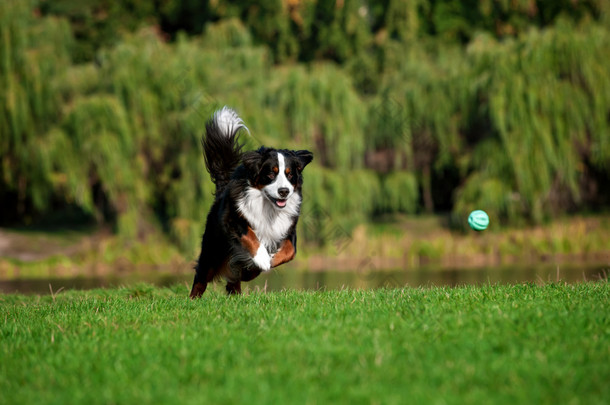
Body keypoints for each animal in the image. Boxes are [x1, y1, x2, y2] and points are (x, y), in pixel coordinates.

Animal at [189, 107, 314, 296]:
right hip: (213, 250)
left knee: (234, 279)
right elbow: (251, 236)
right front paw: (262, 259)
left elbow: (290, 251)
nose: (284, 191)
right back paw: (193, 298)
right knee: (201, 278)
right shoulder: (233, 219)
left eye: (290, 174)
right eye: (271, 174)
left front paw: (271, 259)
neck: (269, 208)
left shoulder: (288, 228)